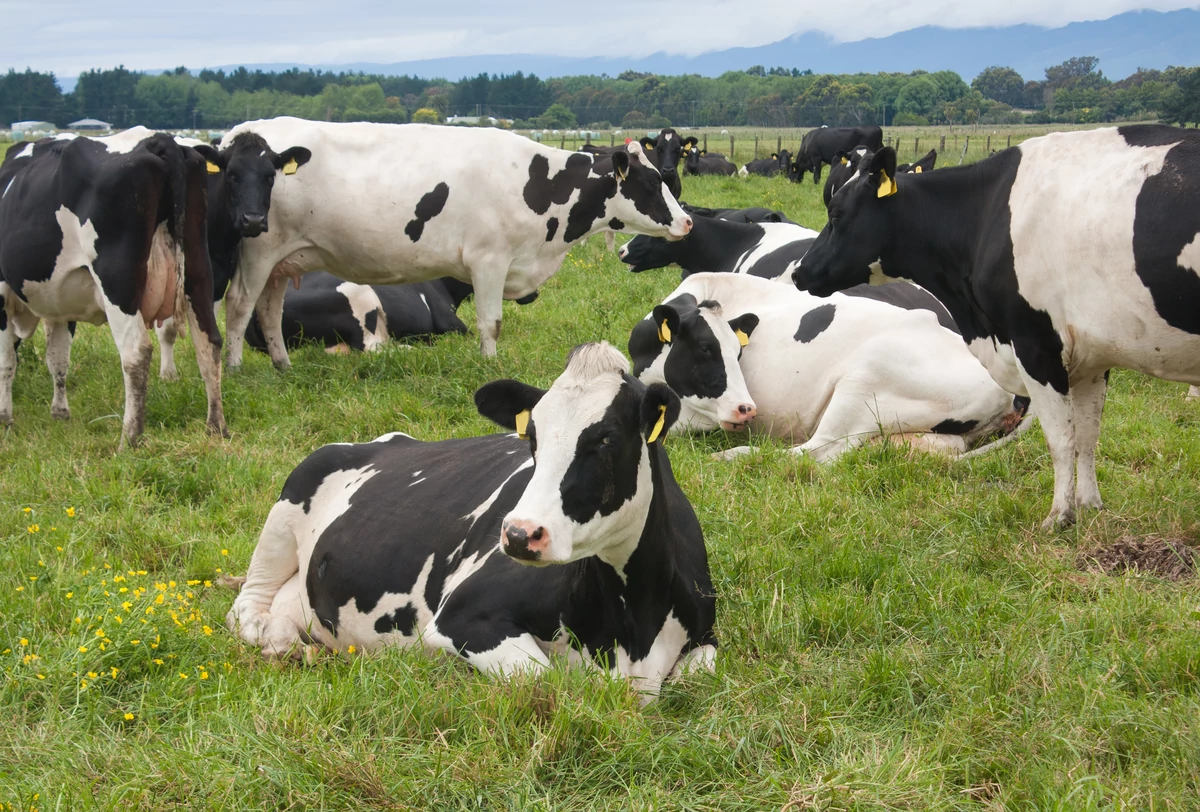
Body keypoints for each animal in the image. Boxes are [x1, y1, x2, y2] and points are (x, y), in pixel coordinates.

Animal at [0, 130, 225, 446]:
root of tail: (156, 139)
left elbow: (7, 360)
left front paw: (5, 418)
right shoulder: (59, 303)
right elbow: (57, 357)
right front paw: (60, 414)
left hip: (118, 281)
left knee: (136, 352)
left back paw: (129, 438)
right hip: (198, 268)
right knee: (209, 343)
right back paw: (216, 426)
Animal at [219, 116, 691, 364]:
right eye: (652, 181)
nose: (687, 221)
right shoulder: (489, 260)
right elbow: (491, 322)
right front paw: (489, 364)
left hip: (283, 261)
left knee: (269, 311)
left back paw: (282, 365)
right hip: (258, 250)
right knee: (240, 306)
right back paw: (237, 367)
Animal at [225, 340, 715, 695]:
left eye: (608, 438)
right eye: (531, 435)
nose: (519, 534)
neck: (630, 628)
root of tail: (380, 441)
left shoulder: (705, 635)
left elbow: (701, 671)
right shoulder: (462, 616)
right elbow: (548, 680)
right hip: (287, 507)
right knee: (246, 607)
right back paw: (281, 642)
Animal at [787, 125, 1200, 525]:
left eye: (836, 212)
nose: (798, 272)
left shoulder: (1036, 344)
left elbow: (1060, 438)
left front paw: (1060, 516)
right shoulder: (1093, 358)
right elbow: (1087, 436)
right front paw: (1090, 507)